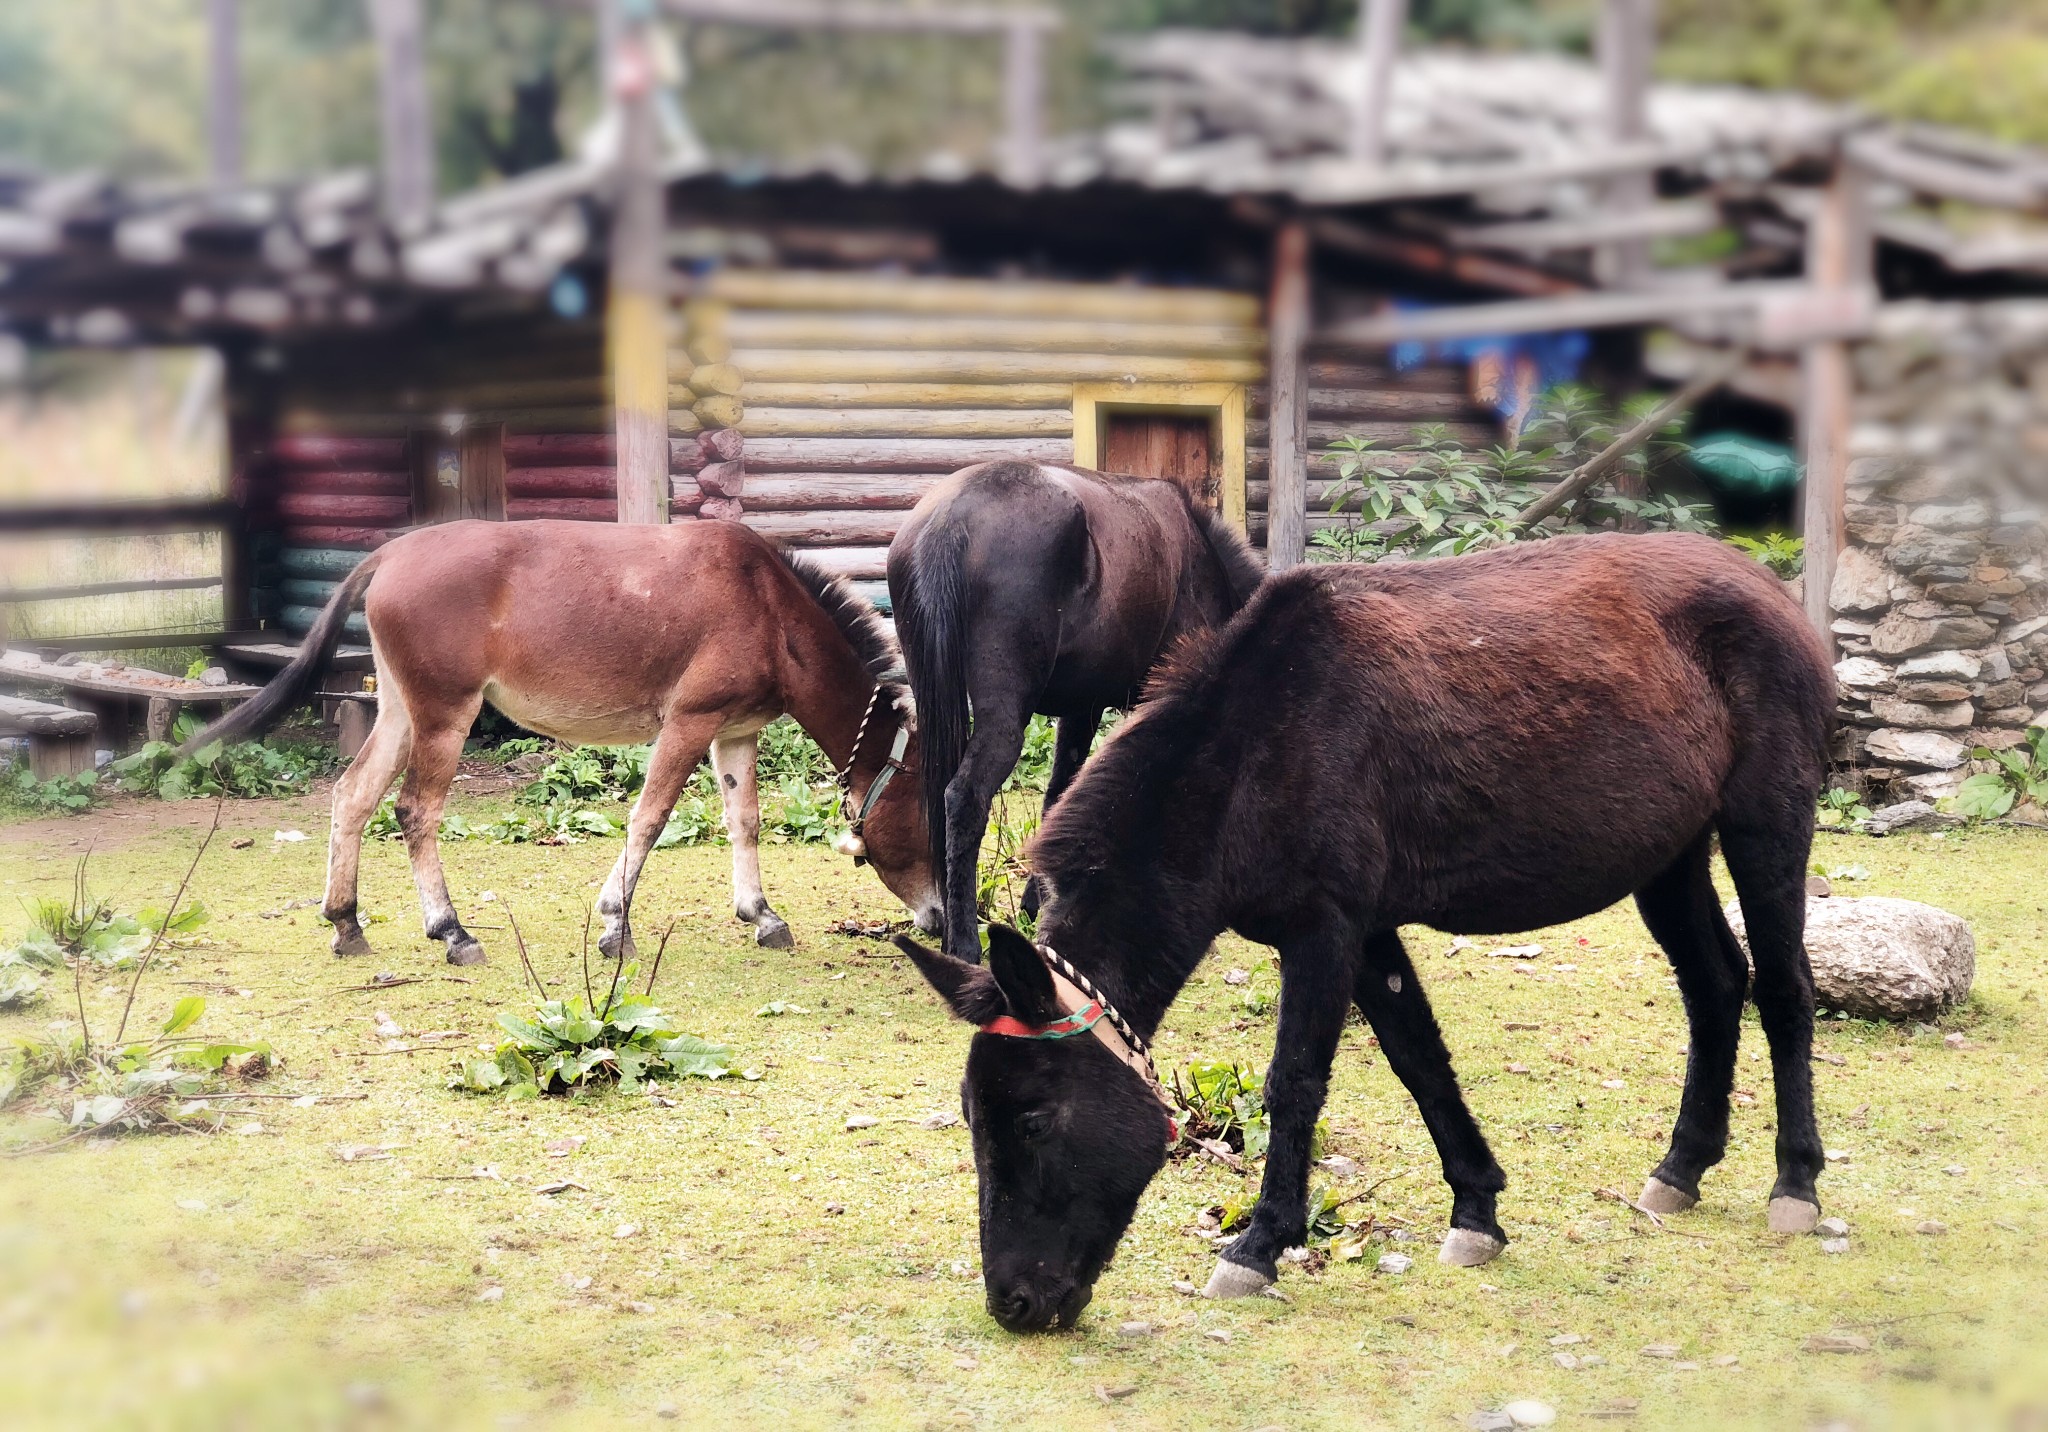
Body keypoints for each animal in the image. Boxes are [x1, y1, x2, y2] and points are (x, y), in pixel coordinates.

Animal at [888, 465, 1253, 971]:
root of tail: (948, 521)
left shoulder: (1083, 708)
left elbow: (1058, 796)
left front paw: (1037, 902)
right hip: (1005, 716)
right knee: (964, 797)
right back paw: (963, 944)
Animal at [905, 536, 1835, 1335]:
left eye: (1032, 1121)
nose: (1013, 1304)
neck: (1250, 752)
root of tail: (1766, 587)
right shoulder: (1369, 930)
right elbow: (1418, 1058)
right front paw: (1477, 1210)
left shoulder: (1325, 930)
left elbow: (1296, 1084)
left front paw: (1258, 1245)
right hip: (1669, 858)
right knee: (1715, 985)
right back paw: (1682, 1167)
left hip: (1765, 827)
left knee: (1785, 989)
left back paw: (1795, 1183)